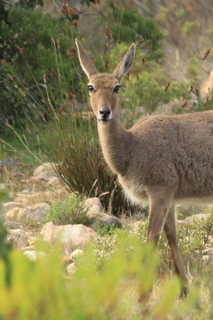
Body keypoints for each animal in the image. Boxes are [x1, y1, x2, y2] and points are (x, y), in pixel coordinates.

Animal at [76, 40, 213, 298]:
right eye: (91, 87)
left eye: (117, 87)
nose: (104, 112)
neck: (131, 148)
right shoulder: (169, 197)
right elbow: (172, 236)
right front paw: (184, 290)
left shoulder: (159, 190)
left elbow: (151, 237)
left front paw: (144, 293)